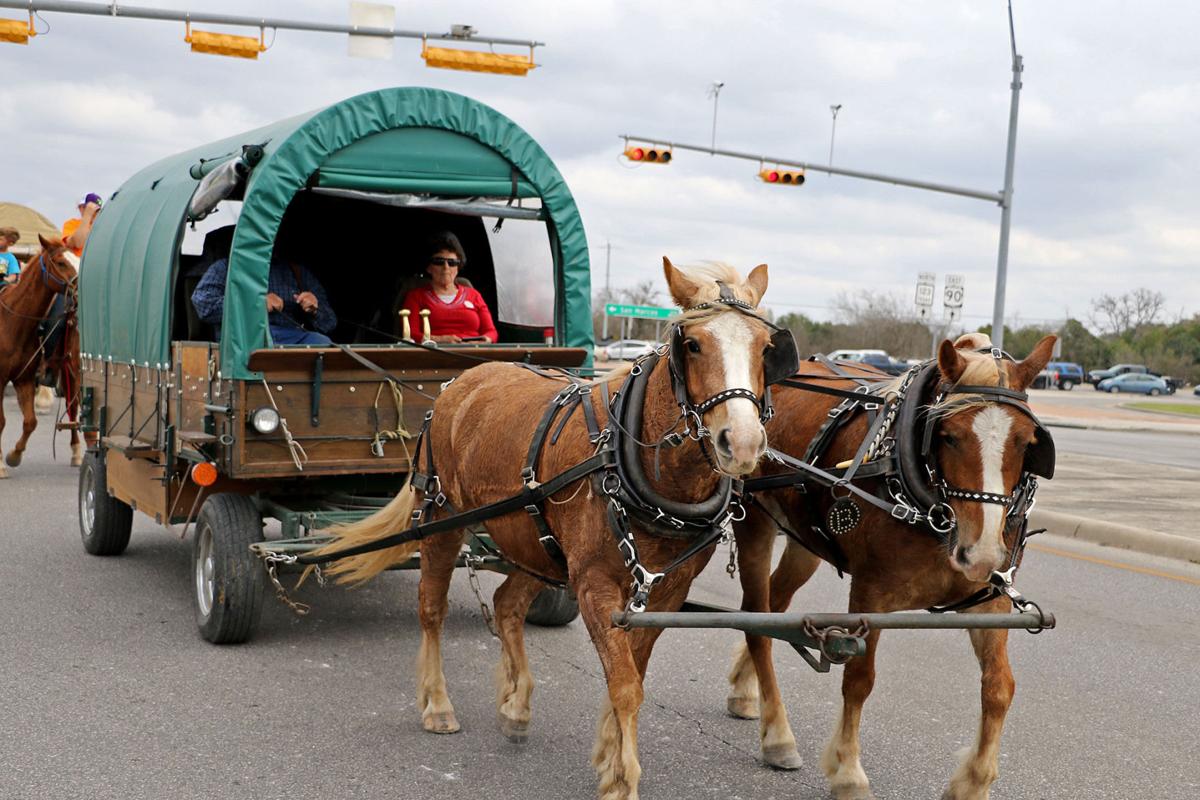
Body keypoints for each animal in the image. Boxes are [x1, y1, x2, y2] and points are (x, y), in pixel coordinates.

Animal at [0, 235, 81, 479]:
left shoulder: (24, 379)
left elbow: (30, 422)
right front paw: (1, 465)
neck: (12, 322)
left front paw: (13, 456)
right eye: (61, 262)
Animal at [314, 260, 792, 796]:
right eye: (692, 344)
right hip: (441, 519)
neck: (631, 460)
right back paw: (437, 704)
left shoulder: (668, 590)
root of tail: (461, 381)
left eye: (765, 348)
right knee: (432, 609)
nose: (743, 443)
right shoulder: (593, 584)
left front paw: (608, 755)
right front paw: (622, 778)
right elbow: (625, 684)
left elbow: (633, 672)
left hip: (535, 542)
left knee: (506, 604)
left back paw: (516, 707)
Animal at [724, 331, 1056, 800]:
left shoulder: (989, 602)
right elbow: (859, 679)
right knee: (757, 621)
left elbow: (999, 687)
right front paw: (848, 771)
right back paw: (778, 736)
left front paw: (973, 782)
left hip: (806, 541)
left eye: (1027, 442)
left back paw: (745, 689)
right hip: (754, 522)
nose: (982, 553)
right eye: (949, 436)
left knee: (774, 606)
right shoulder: (871, 594)